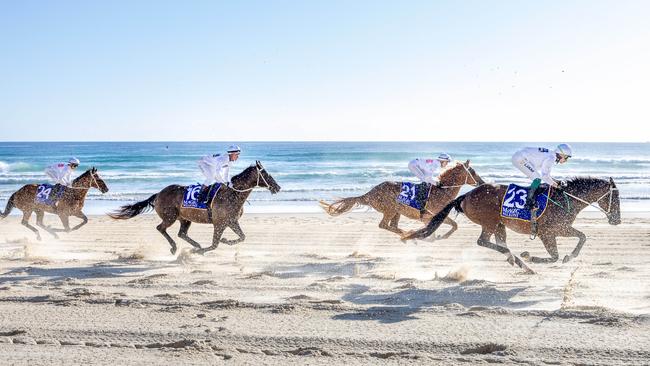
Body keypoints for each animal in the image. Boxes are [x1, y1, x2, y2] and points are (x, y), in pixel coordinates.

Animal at [107, 162, 280, 256]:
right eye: (266, 174)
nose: (277, 187)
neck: (232, 194)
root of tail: (158, 194)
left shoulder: (231, 222)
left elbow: (242, 237)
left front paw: (224, 240)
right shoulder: (219, 224)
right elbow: (215, 244)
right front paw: (200, 251)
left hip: (185, 219)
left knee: (181, 233)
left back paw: (195, 245)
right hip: (170, 217)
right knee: (161, 228)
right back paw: (176, 247)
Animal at [318, 160, 480, 237]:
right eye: (472, 171)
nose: (481, 181)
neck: (442, 191)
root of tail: (369, 194)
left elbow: (454, 225)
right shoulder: (429, 216)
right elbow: (450, 226)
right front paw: (437, 237)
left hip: (397, 212)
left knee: (393, 226)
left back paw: (406, 234)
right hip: (389, 209)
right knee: (383, 225)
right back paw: (406, 234)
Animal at [402, 176, 620, 274]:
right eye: (616, 198)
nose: (617, 220)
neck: (566, 199)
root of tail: (466, 195)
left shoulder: (561, 229)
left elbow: (582, 237)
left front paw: (568, 256)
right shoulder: (550, 232)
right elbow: (557, 255)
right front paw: (532, 256)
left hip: (499, 224)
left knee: (500, 242)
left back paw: (518, 262)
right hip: (489, 222)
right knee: (483, 241)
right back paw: (517, 259)